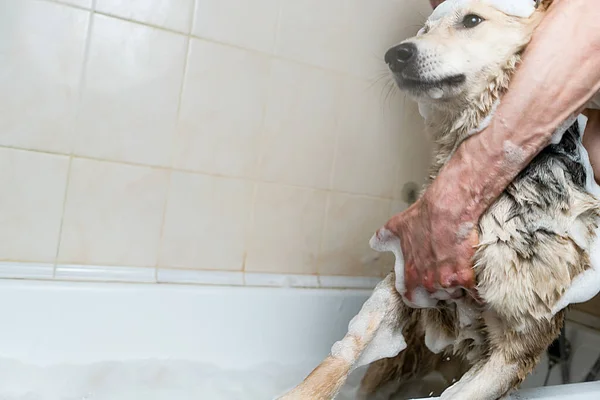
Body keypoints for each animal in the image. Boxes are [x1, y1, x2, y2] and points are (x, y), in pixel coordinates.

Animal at [278, 1, 600, 398]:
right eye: (424, 30)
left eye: (472, 20)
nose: (396, 54)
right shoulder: (405, 277)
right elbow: (340, 356)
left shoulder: (515, 350)